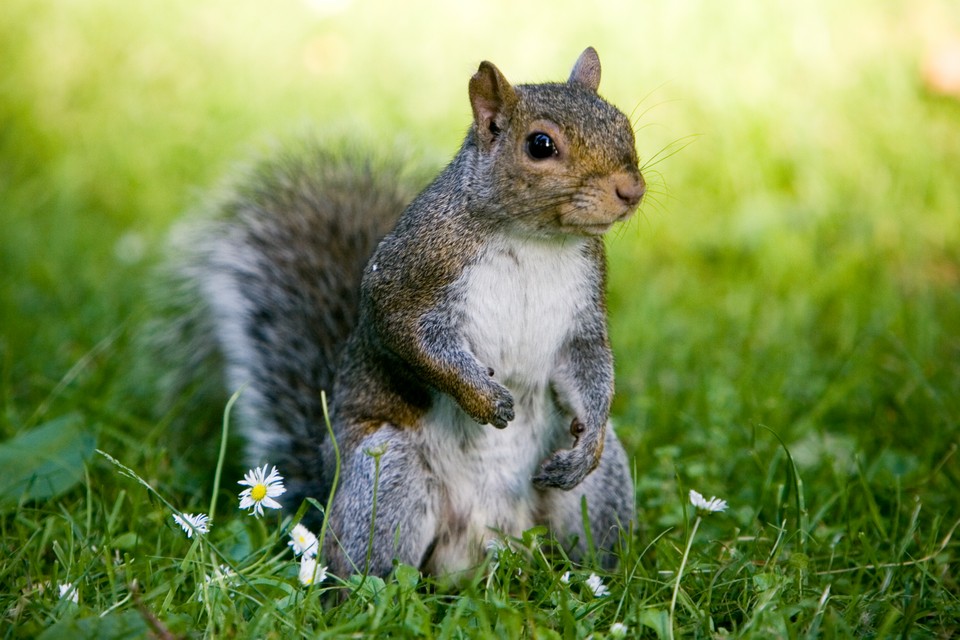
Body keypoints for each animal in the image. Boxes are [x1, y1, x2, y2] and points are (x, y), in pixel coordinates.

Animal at [180, 47, 644, 576]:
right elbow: (412, 341)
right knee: (371, 570)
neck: (536, 241)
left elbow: (589, 367)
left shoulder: (584, 311)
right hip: (389, 478)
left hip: (598, 494)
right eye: (540, 144)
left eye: (624, 124)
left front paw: (589, 440)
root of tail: (487, 543)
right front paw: (485, 399)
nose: (631, 191)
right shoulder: (409, 278)